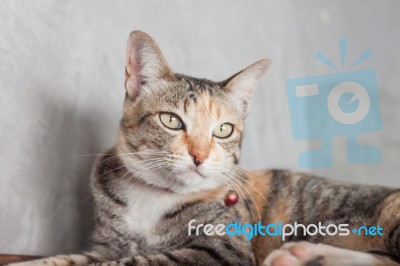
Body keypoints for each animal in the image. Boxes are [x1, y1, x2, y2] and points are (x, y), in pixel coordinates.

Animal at [7, 30, 400, 264]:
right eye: (171, 120)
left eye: (223, 130)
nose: (199, 155)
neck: (154, 198)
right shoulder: (105, 244)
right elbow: (72, 258)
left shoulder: (222, 249)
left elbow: (135, 262)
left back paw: (299, 254)